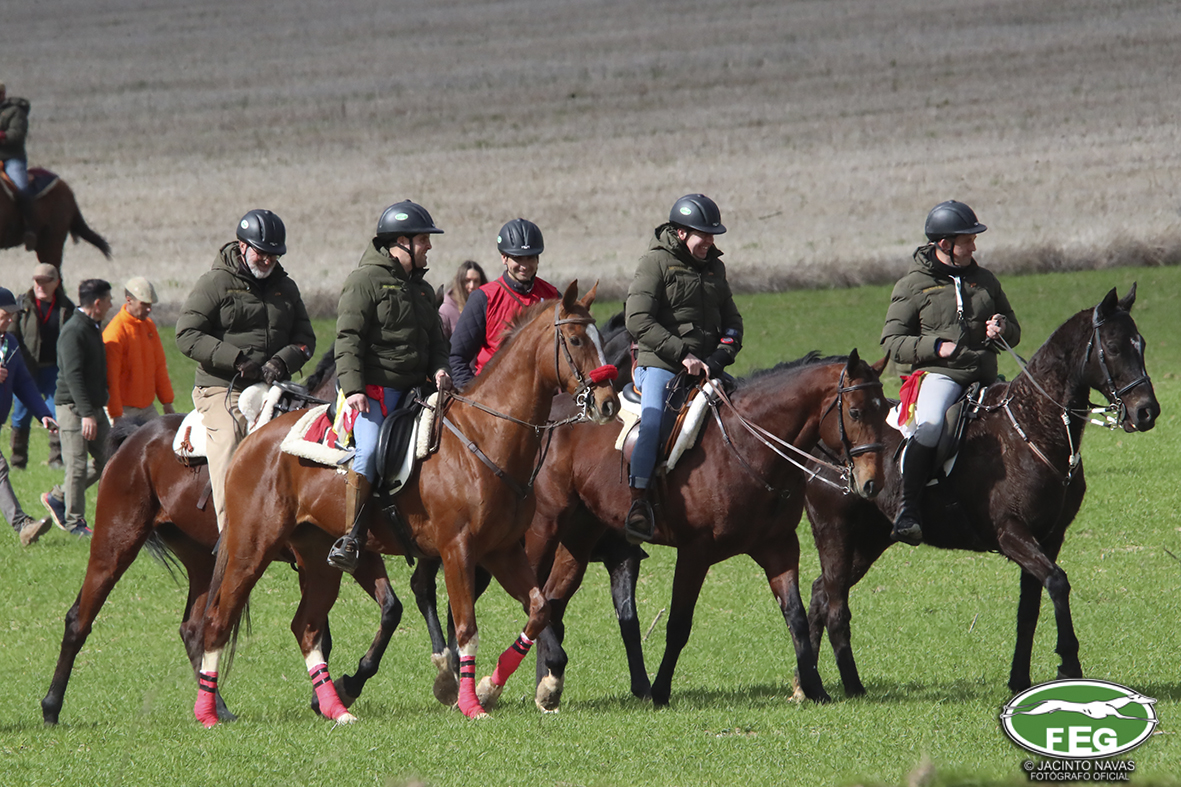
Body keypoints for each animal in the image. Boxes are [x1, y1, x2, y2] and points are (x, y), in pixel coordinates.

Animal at [192, 281, 619, 725]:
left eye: (601, 340)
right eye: (575, 340)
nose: (609, 402)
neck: (484, 437)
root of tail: (253, 440)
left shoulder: (502, 551)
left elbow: (537, 611)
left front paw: (491, 687)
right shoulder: (457, 551)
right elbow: (466, 629)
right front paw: (470, 702)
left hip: (316, 557)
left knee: (306, 628)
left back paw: (335, 707)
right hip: (251, 548)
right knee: (217, 621)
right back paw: (208, 711)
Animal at [511, 350, 889, 710]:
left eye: (885, 409)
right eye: (855, 412)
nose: (872, 483)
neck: (746, 447)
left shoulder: (779, 547)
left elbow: (795, 617)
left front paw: (814, 688)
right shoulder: (696, 551)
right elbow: (679, 624)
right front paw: (660, 691)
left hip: (579, 537)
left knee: (551, 599)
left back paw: (548, 685)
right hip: (545, 527)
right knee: (533, 595)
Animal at [802, 285, 1159, 697]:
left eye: (1141, 344)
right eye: (1113, 347)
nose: (1147, 412)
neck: (1032, 427)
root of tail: (822, 445)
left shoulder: (1048, 537)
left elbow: (1030, 608)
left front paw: (1020, 679)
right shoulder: (1011, 533)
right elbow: (1057, 582)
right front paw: (1069, 665)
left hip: (867, 542)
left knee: (819, 594)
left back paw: (806, 687)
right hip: (837, 535)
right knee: (832, 601)